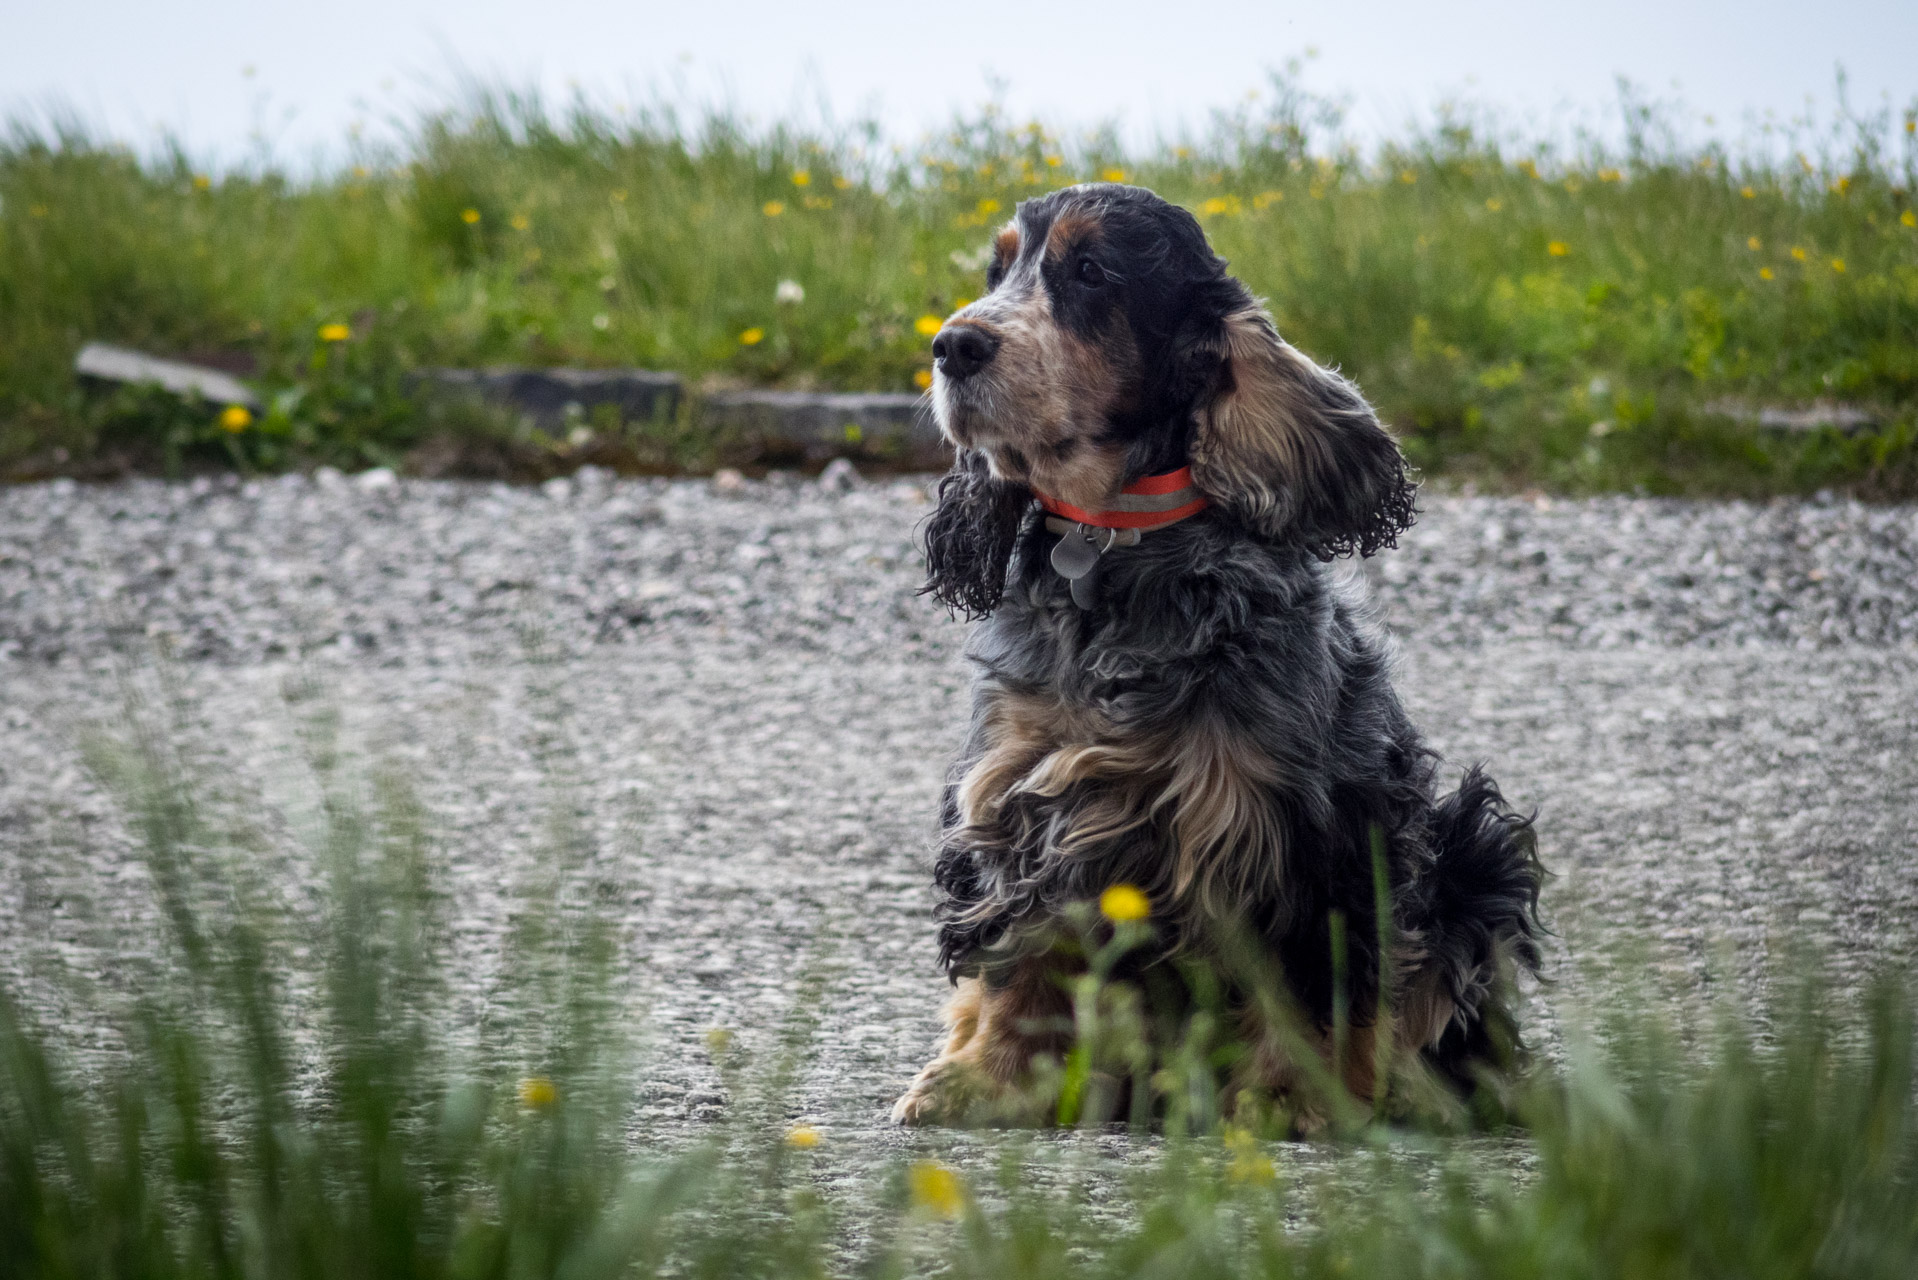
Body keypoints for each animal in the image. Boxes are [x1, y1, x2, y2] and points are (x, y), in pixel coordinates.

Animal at [886, 182, 1542, 1128]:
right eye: (997, 270)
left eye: (1091, 271)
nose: (953, 345)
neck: (1113, 553)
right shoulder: (1020, 801)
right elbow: (1023, 958)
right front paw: (987, 1080)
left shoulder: (1306, 830)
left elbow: (1305, 989)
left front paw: (1285, 1101)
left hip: (1471, 845)